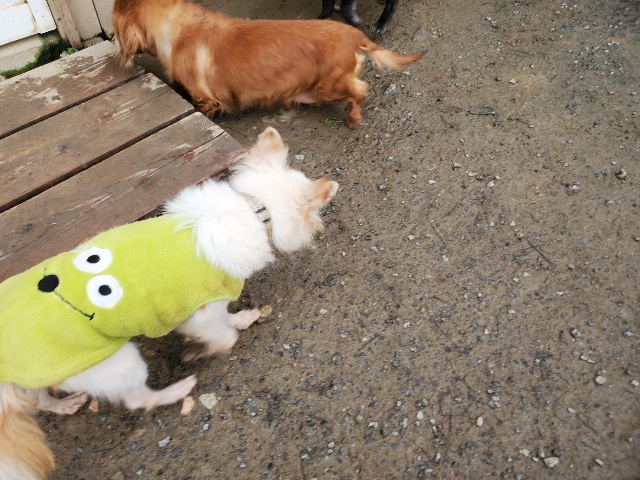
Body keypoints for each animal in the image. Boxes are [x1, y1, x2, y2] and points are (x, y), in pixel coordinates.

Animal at [0, 127, 339, 479]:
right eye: (316, 214)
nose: (320, 226)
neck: (254, 209)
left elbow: (226, 320)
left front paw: (240, 319)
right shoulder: (200, 310)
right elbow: (223, 337)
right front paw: (200, 351)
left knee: (36, 399)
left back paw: (62, 404)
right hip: (111, 361)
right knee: (136, 400)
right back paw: (176, 390)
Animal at [111, 0, 422, 129]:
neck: (179, 27)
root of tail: (355, 35)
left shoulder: (205, 98)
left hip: (329, 85)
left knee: (360, 91)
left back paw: (353, 117)